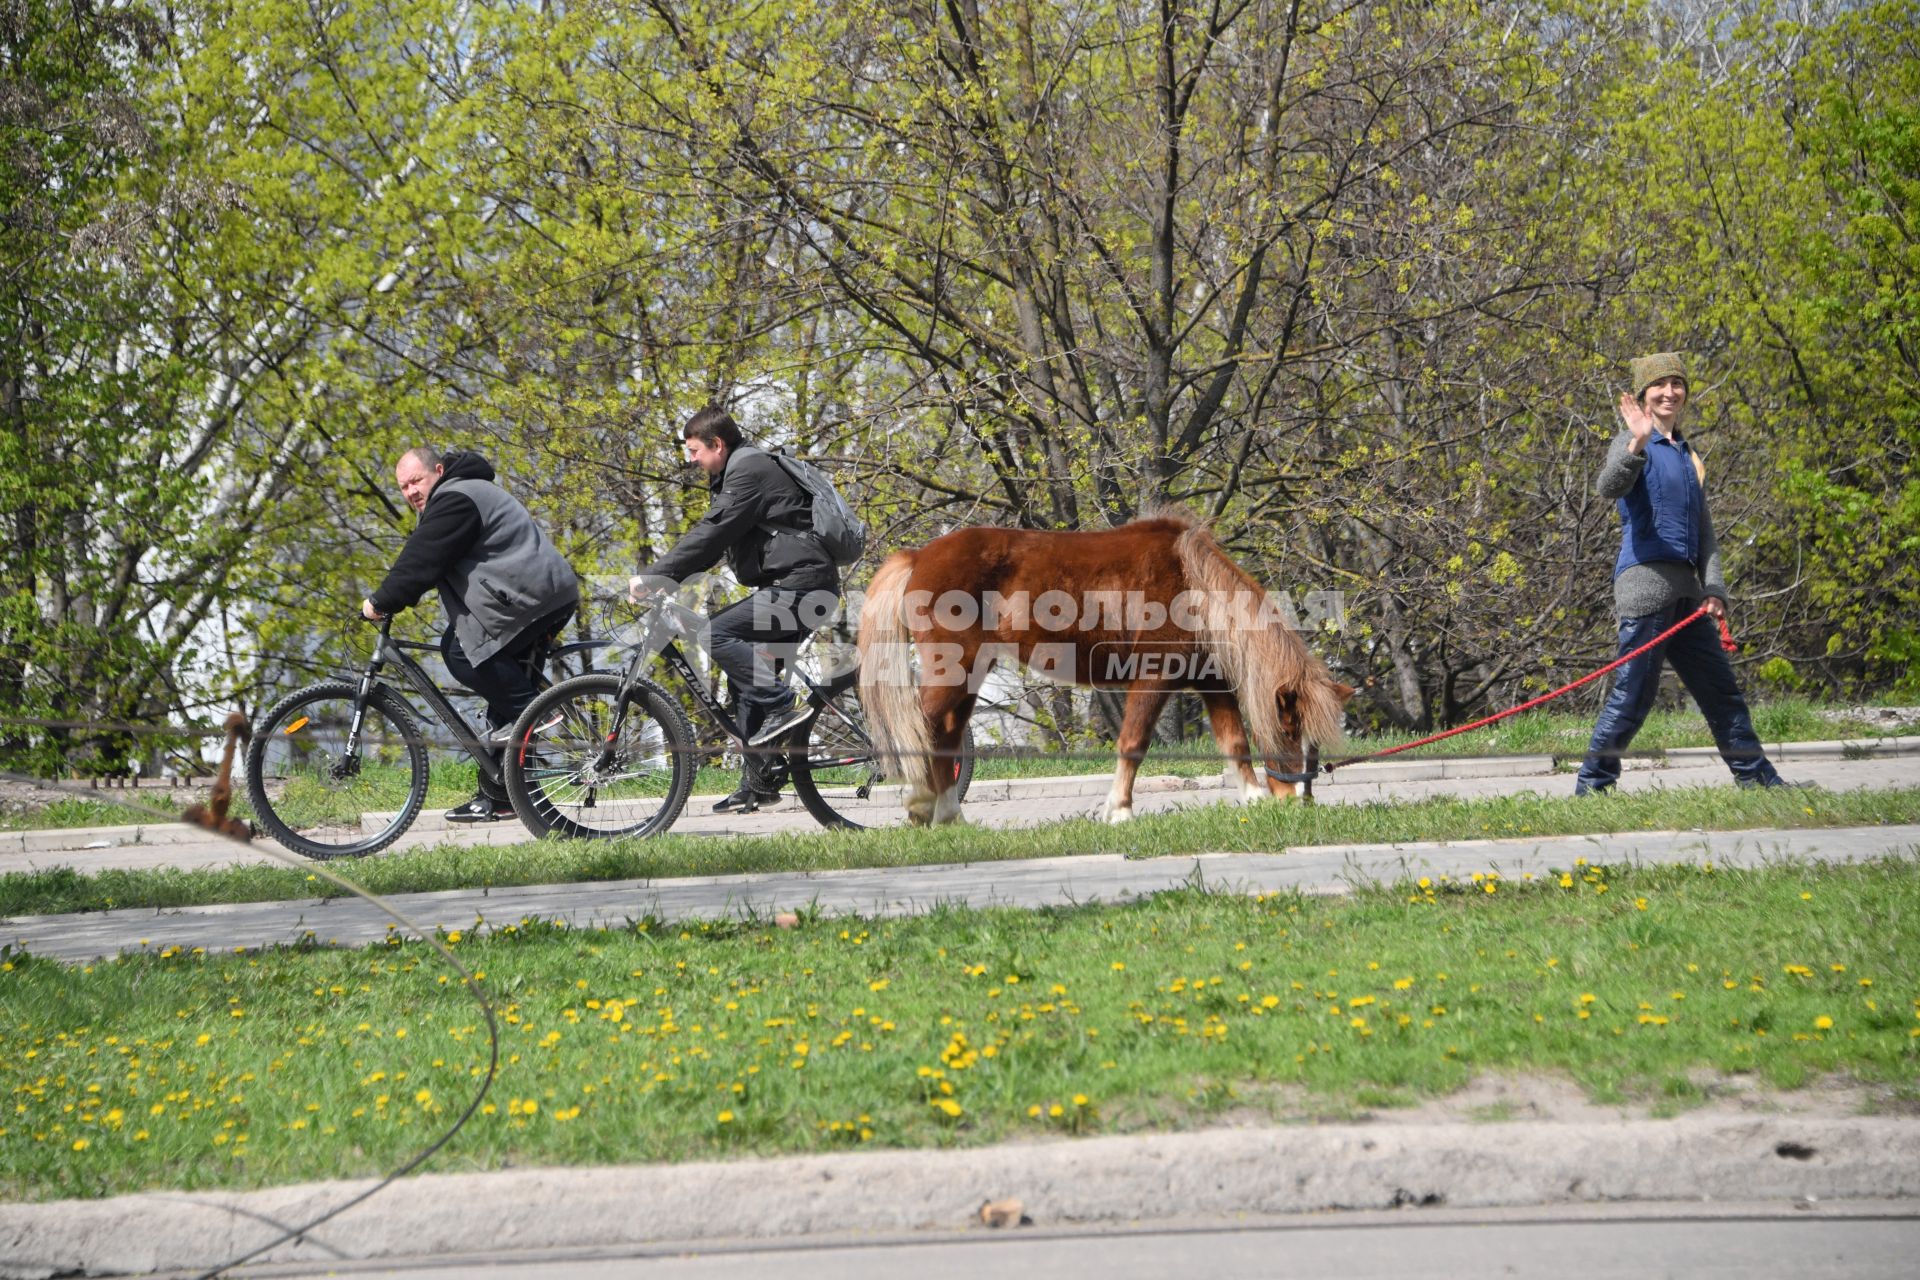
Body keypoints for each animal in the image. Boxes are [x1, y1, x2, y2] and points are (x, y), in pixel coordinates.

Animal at [856, 514, 1351, 825]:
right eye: (1289, 728)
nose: (1297, 801)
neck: (1194, 586)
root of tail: (918, 557)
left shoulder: (1210, 680)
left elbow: (1234, 741)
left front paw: (1251, 798)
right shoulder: (1155, 676)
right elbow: (1134, 744)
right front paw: (1120, 810)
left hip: (970, 675)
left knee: (944, 735)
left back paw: (948, 816)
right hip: (953, 669)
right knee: (921, 728)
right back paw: (921, 805)